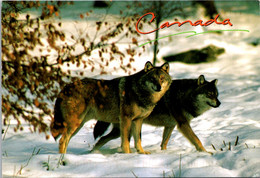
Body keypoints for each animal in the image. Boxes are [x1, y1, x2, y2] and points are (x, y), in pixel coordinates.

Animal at [92, 74, 220, 153]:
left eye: (216, 94)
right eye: (209, 94)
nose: (219, 103)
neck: (185, 97)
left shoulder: (171, 125)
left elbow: (164, 142)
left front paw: (163, 152)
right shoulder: (183, 124)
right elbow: (197, 139)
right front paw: (205, 152)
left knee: (102, 139)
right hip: (121, 130)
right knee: (103, 138)